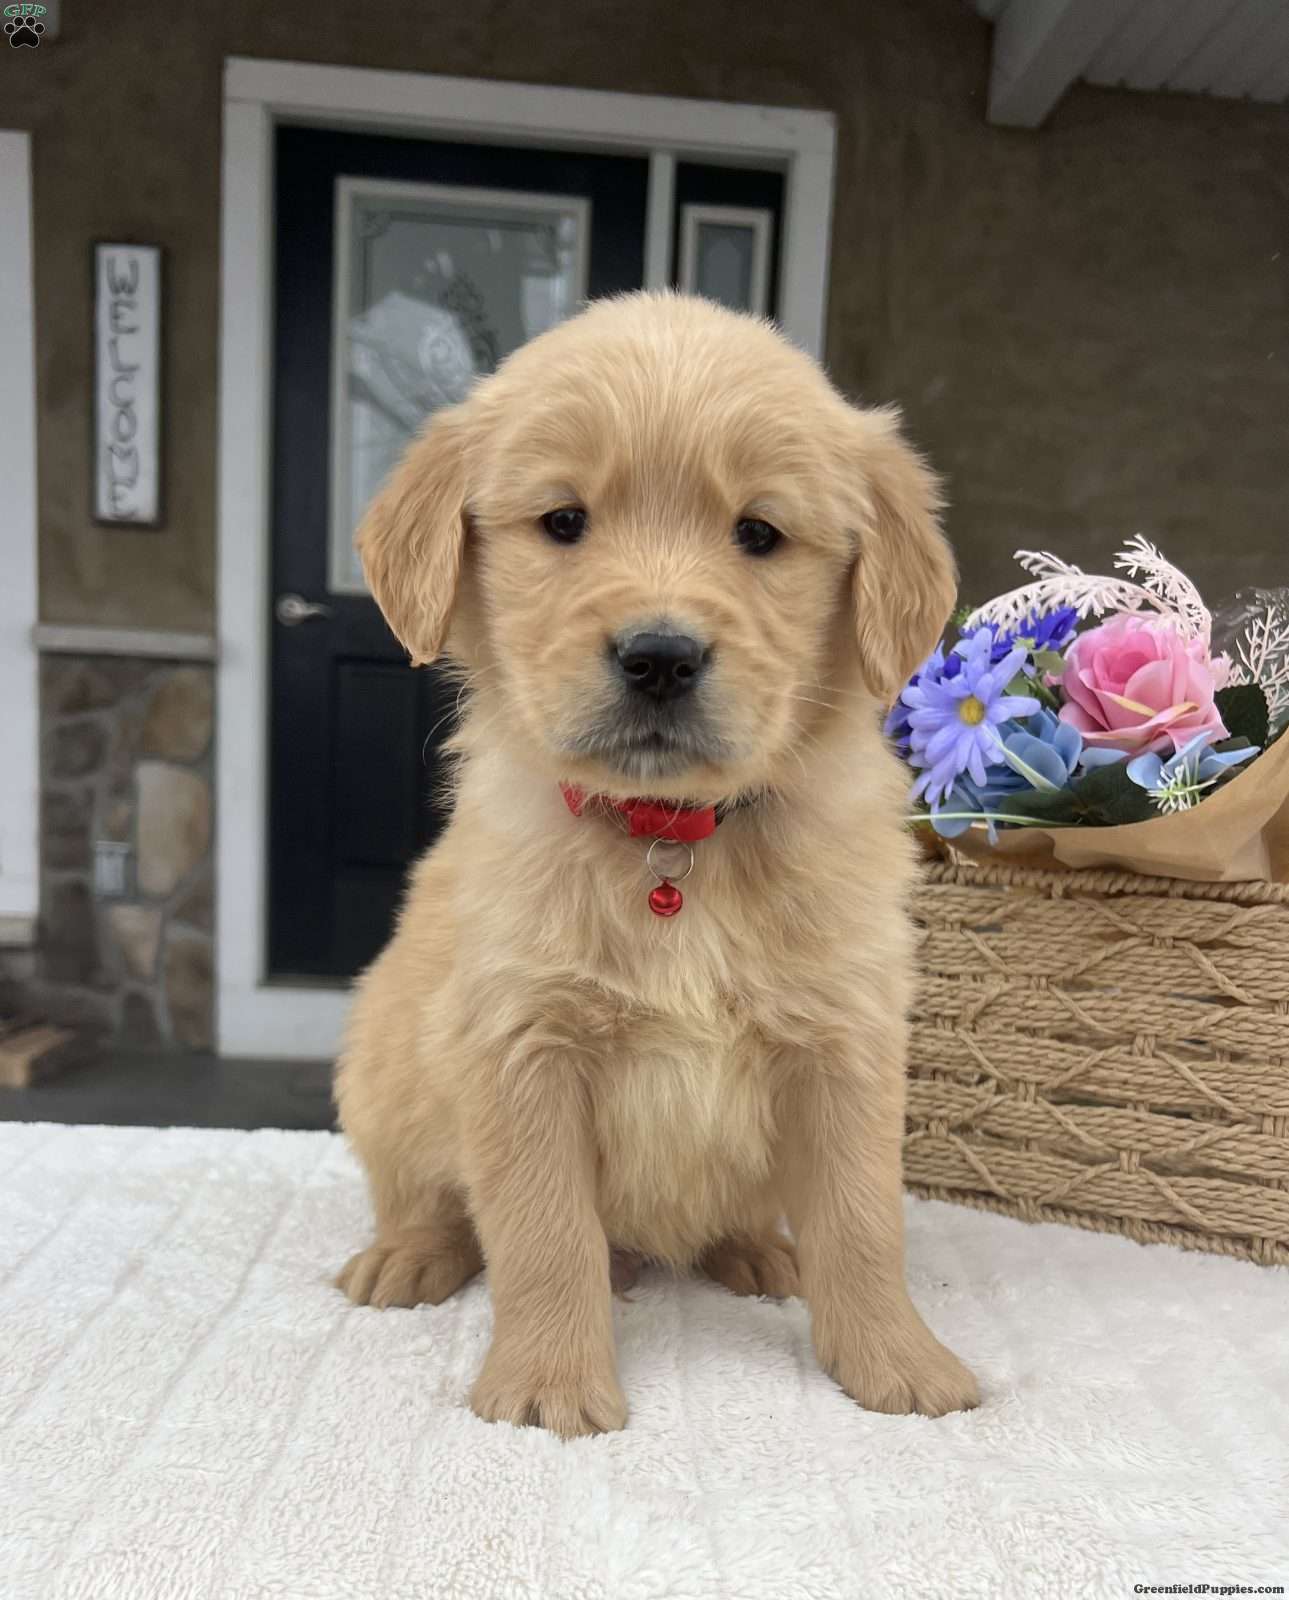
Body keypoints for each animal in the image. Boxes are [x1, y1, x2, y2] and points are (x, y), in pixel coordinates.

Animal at [334, 291, 977, 1437]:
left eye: (758, 533)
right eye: (563, 522)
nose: (660, 657)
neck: (669, 837)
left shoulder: (845, 1044)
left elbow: (863, 1221)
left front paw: (898, 1361)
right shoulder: (521, 1045)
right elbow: (543, 1231)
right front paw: (548, 1383)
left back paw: (757, 1253)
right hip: (382, 1067)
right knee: (425, 1195)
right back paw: (407, 1256)